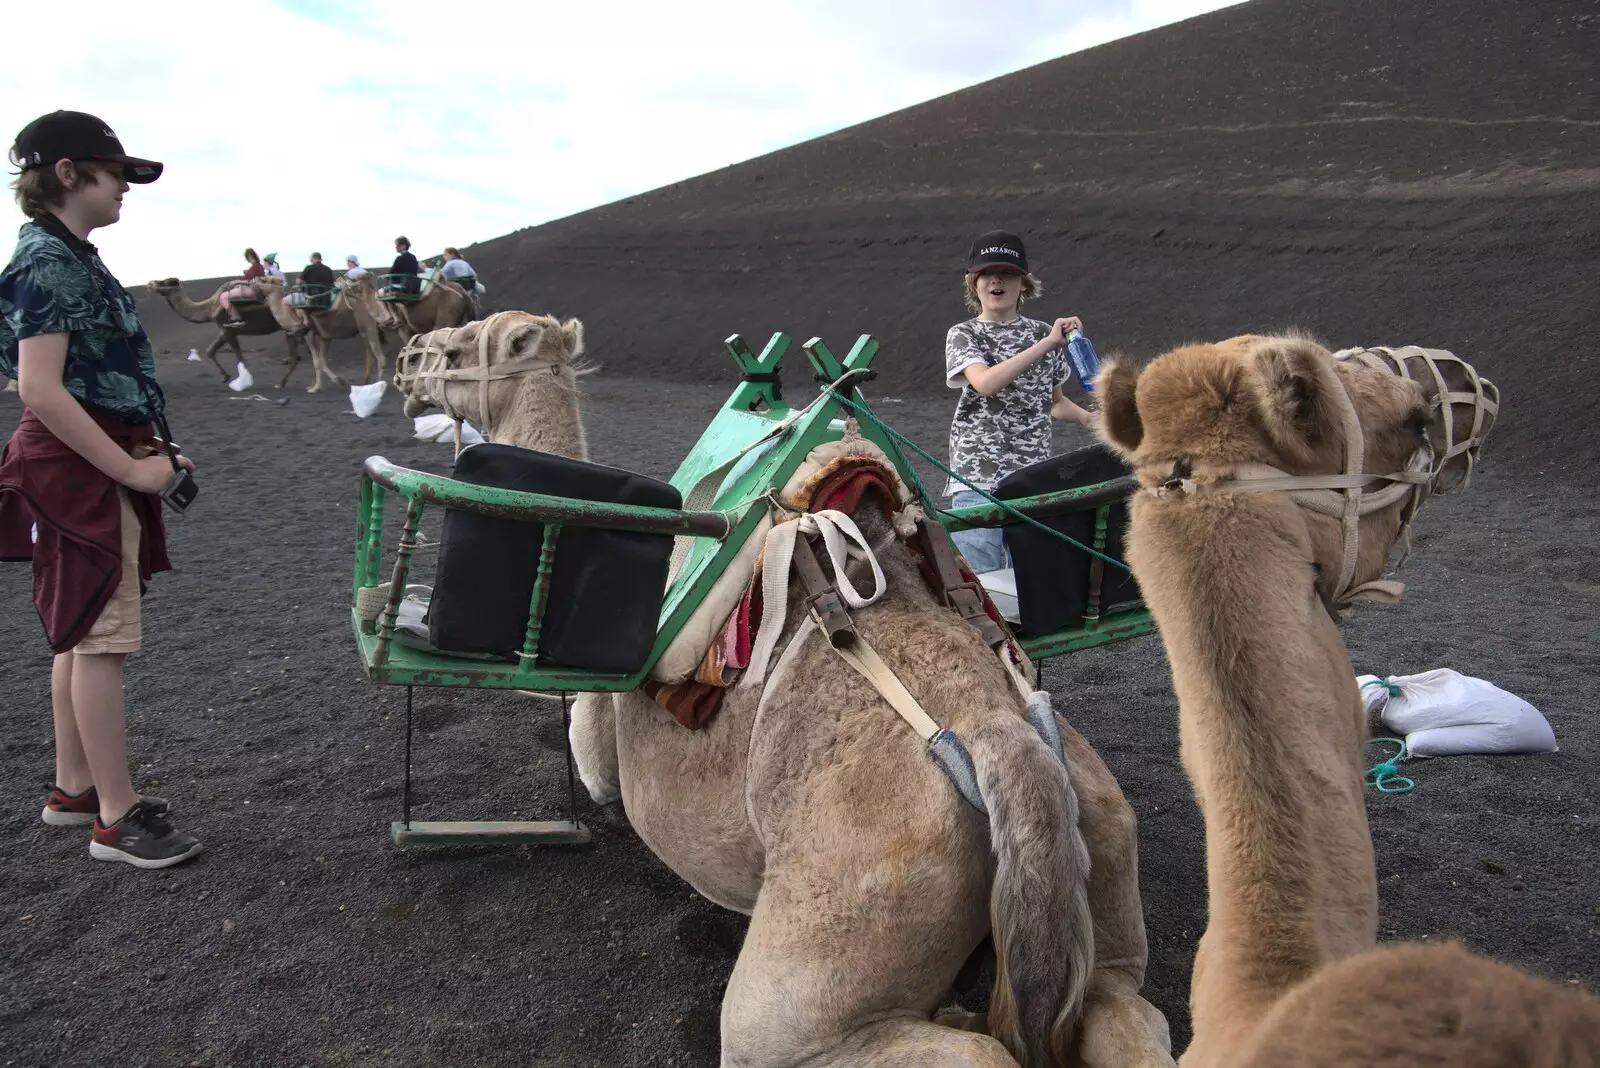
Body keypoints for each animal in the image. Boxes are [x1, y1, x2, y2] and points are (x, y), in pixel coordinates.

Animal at [147, 278, 305, 385]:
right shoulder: (225, 329)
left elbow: (239, 358)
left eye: (163, 282)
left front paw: (244, 380)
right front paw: (225, 376)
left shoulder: (228, 328)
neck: (209, 307)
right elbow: (210, 351)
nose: (150, 283)